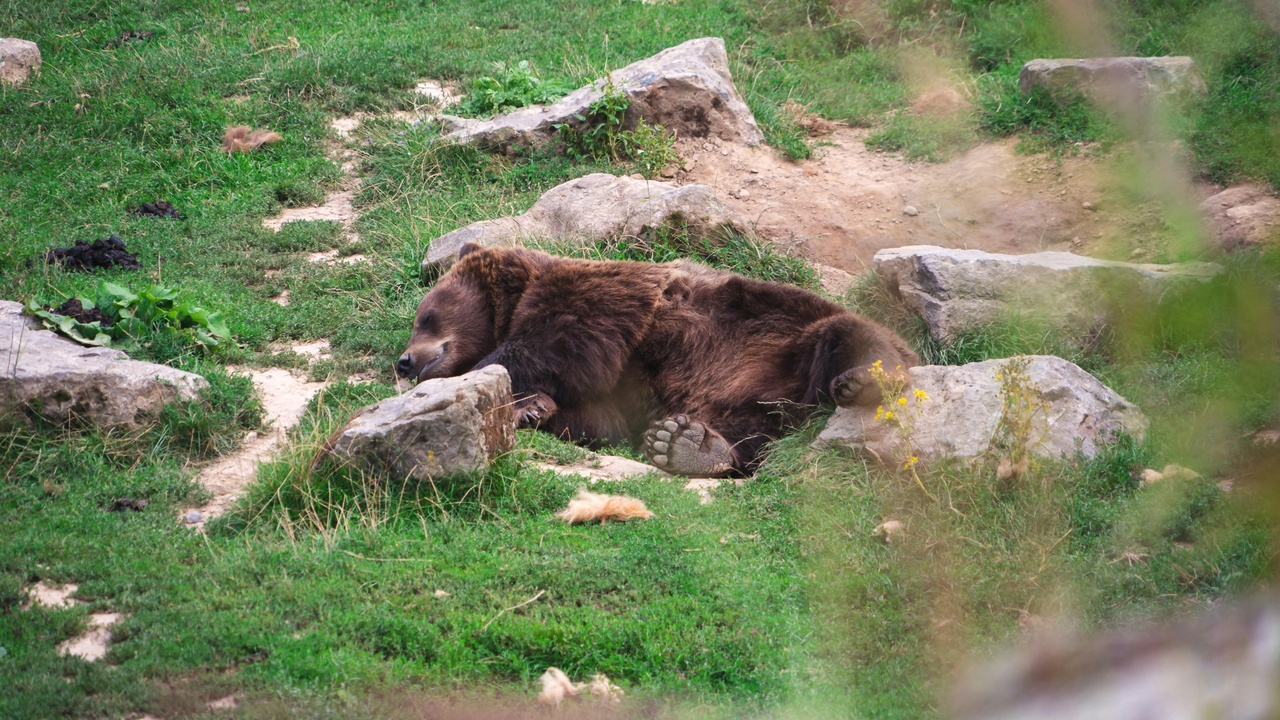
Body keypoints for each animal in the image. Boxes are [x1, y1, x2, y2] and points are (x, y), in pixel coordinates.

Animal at [397, 242, 918, 477]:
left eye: (425, 314)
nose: (404, 361)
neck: (517, 298)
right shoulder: (619, 392)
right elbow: (599, 419)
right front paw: (532, 408)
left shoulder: (598, 297)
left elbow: (557, 344)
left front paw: (503, 384)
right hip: (746, 399)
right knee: (747, 434)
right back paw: (688, 445)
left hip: (789, 337)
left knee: (850, 334)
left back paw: (865, 380)